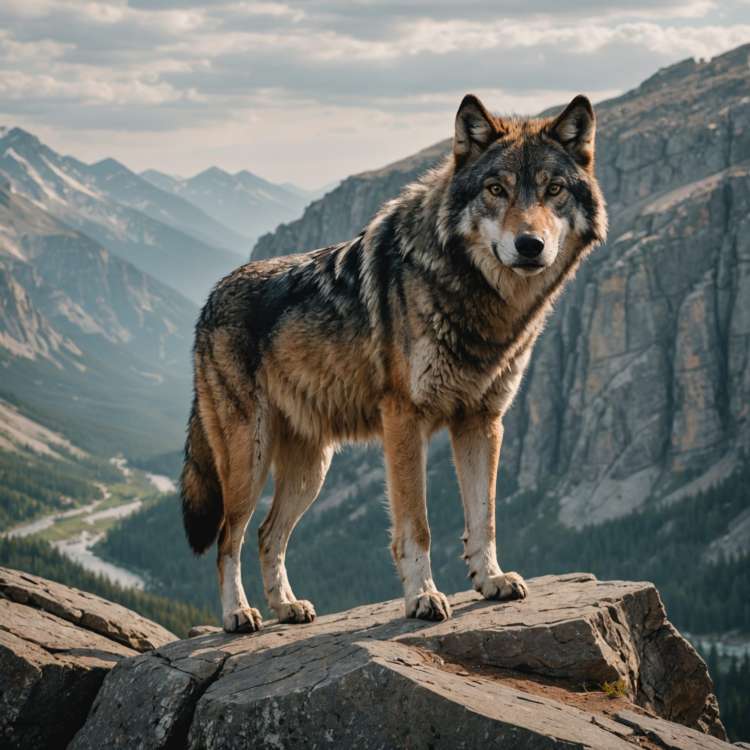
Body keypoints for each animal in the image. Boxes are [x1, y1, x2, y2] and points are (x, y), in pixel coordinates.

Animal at [180, 94, 607, 632]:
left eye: (553, 190)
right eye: (497, 189)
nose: (530, 245)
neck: (478, 300)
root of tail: (209, 299)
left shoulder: (482, 421)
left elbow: (483, 517)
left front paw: (491, 580)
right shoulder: (406, 420)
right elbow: (417, 526)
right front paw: (422, 597)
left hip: (310, 471)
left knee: (267, 535)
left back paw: (287, 607)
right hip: (249, 459)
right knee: (228, 539)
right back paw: (239, 613)